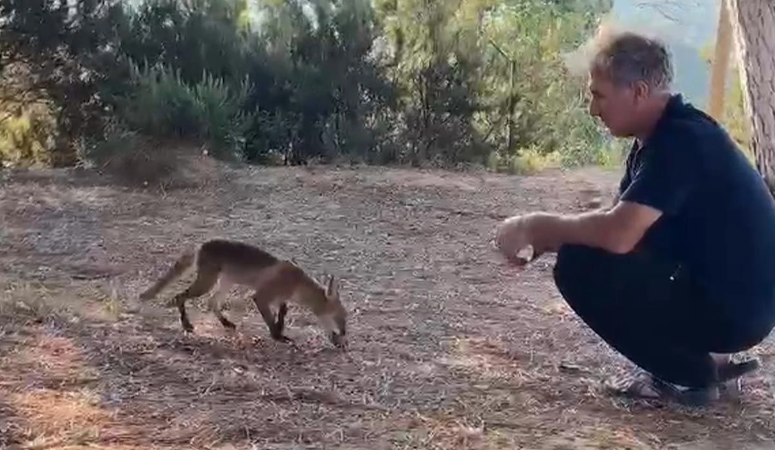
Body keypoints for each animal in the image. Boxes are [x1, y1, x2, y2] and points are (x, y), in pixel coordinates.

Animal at [138, 239, 348, 348]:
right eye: (341, 317)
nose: (345, 335)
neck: (297, 285)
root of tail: (202, 243)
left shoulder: (281, 298)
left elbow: (282, 314)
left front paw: (280, 330)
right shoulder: (261, 297)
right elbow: (271, 321)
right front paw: (277, 336)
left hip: (225, 282)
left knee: (211, 303)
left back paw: (226, 323)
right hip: (207, 283)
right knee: (180, 296)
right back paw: (187, 325)